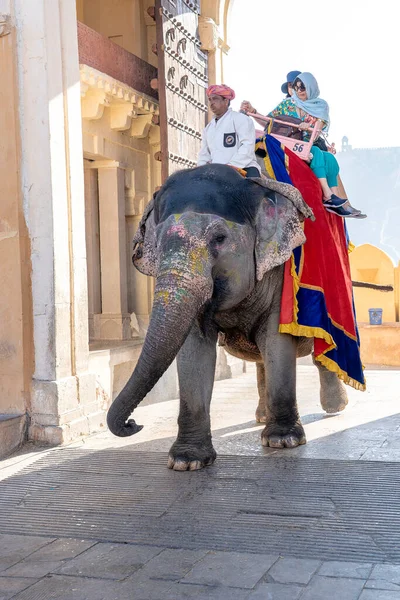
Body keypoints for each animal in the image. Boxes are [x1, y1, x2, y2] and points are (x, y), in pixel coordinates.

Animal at [108, 163, 348, 468]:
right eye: (156, 244)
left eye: (219, 239)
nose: (134, 424)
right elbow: (195, 350)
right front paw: (187, 460)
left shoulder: (280, 273)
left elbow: (276, 340)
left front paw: (284, 441)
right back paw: (262, 416)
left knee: (321, 351)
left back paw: (335, 407)